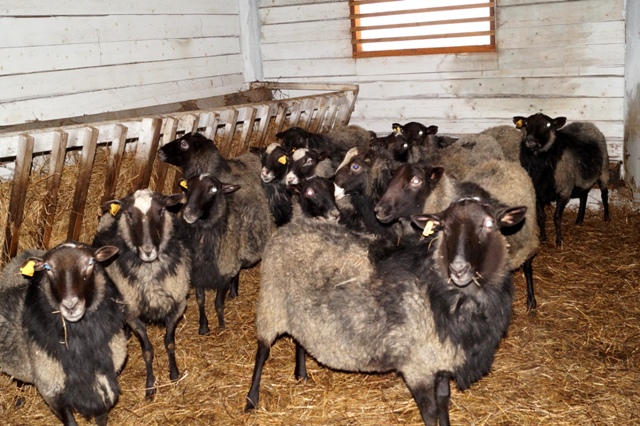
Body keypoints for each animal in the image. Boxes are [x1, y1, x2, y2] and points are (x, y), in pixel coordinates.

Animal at [0, 243, 127, 426]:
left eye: (91, 262)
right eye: (48, 268)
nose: (70, 305)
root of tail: (26, 252)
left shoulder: (104, 379)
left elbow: (102, 417)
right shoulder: (50, 389)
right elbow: (70, 421)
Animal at [180, 172, 270, 332]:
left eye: (213, 190)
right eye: (189, 186)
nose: (189, 212)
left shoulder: (224, 273)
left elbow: (218, 303)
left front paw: (221, 325)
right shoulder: (198, 272)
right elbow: (200, 300)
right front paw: (203, 326)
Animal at [245, 198, 524, 424]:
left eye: (490, 224)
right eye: (443, 227)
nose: (458, 268)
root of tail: (291, 226)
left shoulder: (439, 357)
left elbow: (444, 402)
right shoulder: (417, 366)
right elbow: (431, 412)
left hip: (298, 310)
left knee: (300, 340)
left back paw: (301, 375)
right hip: (271, 303)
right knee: (262, 352)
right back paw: (251, 400)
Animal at [516, 112, 608, 246]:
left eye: (547, 125)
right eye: (526, 123)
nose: (530, 140)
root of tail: (587, 124)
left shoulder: (564, 191)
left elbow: (557, 217)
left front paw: (559, 241)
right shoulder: (538, 191)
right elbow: (541, 217)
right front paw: (543, 238)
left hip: (604, 170)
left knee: (604, 194)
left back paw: (607, 217)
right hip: (581, 178)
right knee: (584, 195)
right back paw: (579, 219)